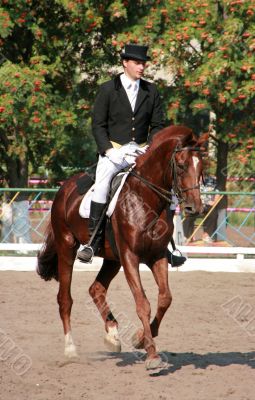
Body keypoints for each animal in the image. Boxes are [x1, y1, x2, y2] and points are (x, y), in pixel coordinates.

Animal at [36, 126, 205, 370]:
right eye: (181, 165)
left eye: (202, 166)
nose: (195, 208)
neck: (146, 198)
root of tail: (64, 189)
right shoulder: (129, 256)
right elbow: (142, 303)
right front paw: (152, 355)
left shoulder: (156, 256)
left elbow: (165, 298)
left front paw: (140, 339)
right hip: (67, 246)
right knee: (65, 299)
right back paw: (70, 350)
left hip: (112, 258)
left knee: (96, 289)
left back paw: (113, 336)